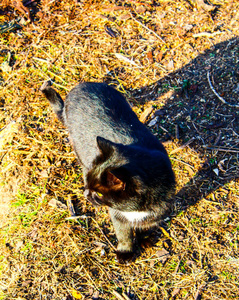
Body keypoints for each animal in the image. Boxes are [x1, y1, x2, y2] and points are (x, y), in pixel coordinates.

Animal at [40, 81, 176, 264]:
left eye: (98, 193)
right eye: (87, 184)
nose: (86, 195)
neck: (135, 210)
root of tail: (81, 85)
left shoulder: (159, 209)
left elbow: (146, 225)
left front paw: (145, 238)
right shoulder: (117, 214)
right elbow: (123, 233)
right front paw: (125, 252)